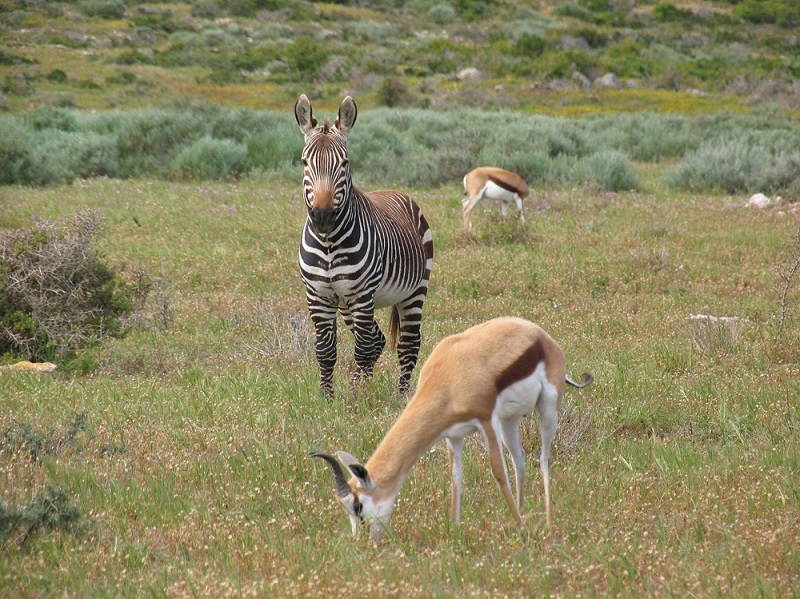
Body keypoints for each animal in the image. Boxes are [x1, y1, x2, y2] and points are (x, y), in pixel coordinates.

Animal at [292, 95, 432, 398]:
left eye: (344, 163)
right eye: (304, 162)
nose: (322, 217)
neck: (329, 243)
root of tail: (394, 190)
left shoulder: (362, 294)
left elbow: (363, 349)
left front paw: (356, 398)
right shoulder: (319, 295)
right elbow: (325, 351)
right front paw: (328, 398)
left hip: (415, 291)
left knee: (407, 346)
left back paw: (402, 396)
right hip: (345, 303)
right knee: (377, 340)